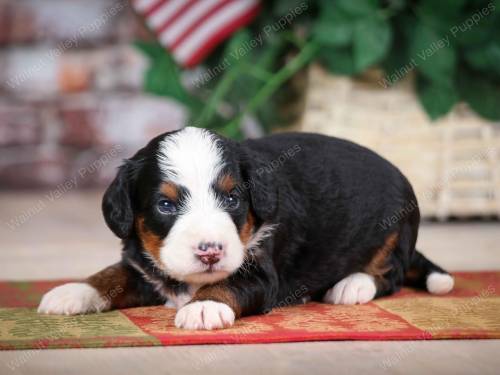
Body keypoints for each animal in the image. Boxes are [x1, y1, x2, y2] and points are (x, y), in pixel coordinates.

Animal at [39, 128, 454, 330]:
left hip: (396, 226)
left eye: (232, 198)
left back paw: (351, 285)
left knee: (391, 274)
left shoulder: (259, 270)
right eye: (165, 205)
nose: (210, 251)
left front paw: (204, 306)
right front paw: (73, 292)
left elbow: (228, 284)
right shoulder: (143, 263)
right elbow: (113, 274)